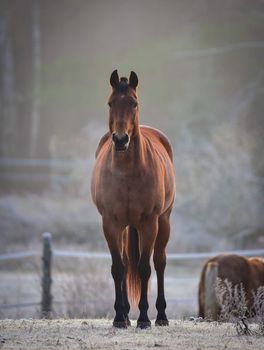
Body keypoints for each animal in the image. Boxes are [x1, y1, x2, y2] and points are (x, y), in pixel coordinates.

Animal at [91, 70, 175, 328]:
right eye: (110, 103)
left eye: (134, 103)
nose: (120, 140)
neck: (127, 172)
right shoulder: (111, 223)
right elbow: (119, 268)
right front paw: (120, 317)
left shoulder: (149, 223)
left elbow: (145, 268)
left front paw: (145, 319)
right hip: (127, 227)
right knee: (128, 263)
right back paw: (128, 314)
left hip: (163, 222)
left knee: (159, 262)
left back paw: (161, 316)